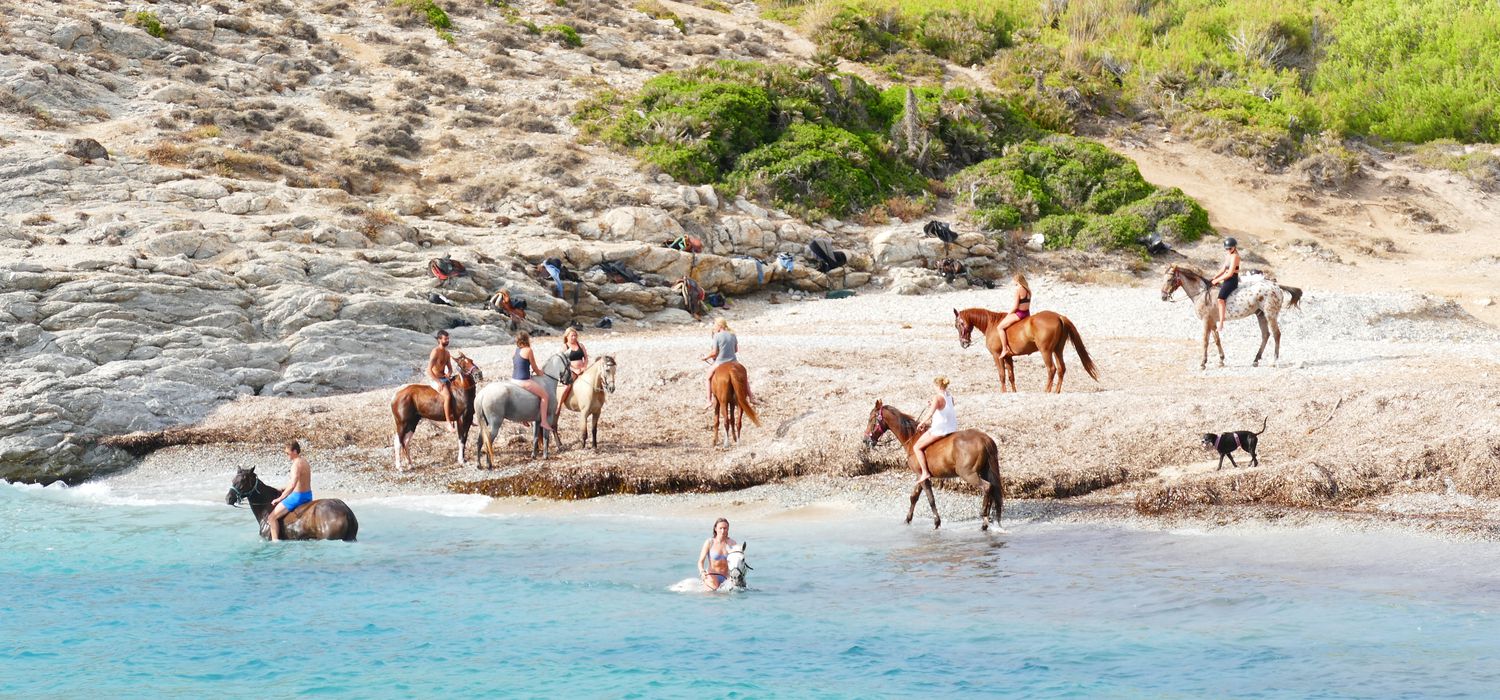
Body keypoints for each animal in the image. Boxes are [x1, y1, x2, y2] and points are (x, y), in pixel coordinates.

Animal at [864, 398, 1002, 530]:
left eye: (871, 419)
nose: (865, 440)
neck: (912, 439)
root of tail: (984, 439)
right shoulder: (920, 476)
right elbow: (914, 497)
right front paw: (908, 519)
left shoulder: (922, 476)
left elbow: (930, 499)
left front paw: (936, 522)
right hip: (984, 472)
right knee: (992, 489)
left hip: (968, 474)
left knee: (987, 487)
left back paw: (984, 517)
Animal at [954, 308, 1098, 395]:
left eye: (958, 324)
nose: (963, 343)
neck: (993, 325)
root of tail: (1059, 317)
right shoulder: (1008, 357)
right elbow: (1011, 376)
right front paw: (1013, 392)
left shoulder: (997, 356)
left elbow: (1002, 375)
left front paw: (1003, 392)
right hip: (1057, 350)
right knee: (1061, 369)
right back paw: (1056, 391)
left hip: (1046, 351)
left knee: (1051, 369)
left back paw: (1046, 390)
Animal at [1158, 263, 1302, 373]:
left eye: (1169, 280)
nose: (1163, 297)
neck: (1201, 293)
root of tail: (1276, 286)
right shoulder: (1212, 321)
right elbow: (1217, 340)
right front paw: (1221, 360)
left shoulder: (1206, 321)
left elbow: (1205, 341)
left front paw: (1203, 363)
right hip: (1260, 315)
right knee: (1265, 335)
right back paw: (1255, 360)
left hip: (1270, 315)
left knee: (1276, 334)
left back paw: (1273, 361)